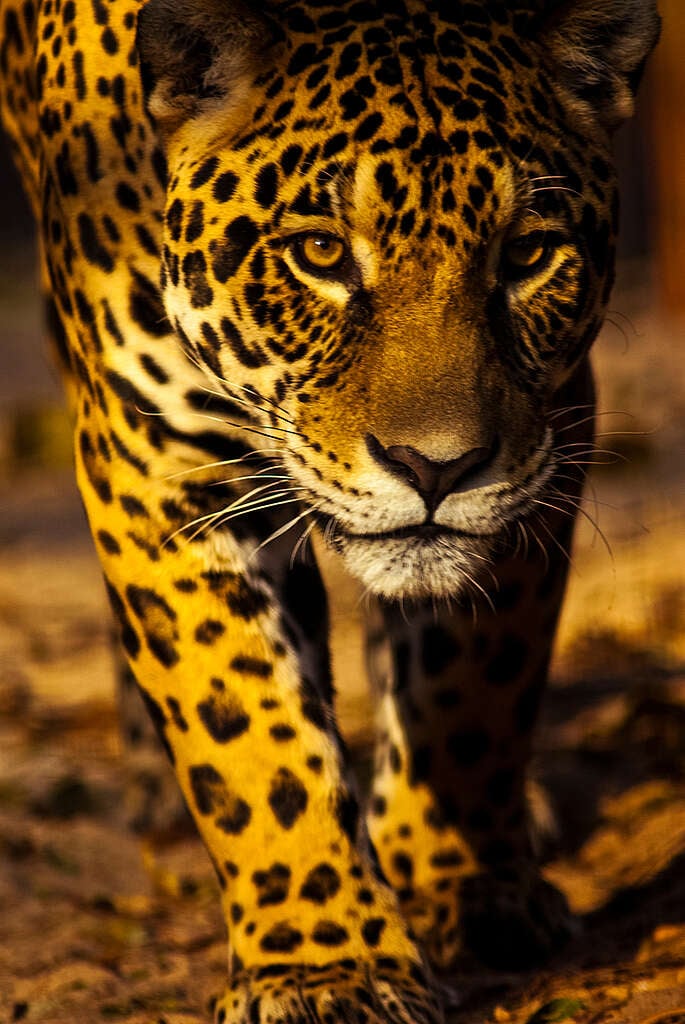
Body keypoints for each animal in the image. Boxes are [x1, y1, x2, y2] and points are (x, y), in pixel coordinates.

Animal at [0, 0, 660, 1021]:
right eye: (319, 253)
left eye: (526, 255)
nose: (436, 467)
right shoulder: (158, 457)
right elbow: (247, 729)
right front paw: (324, 964)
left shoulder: (551, 428)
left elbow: (472, 686)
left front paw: (452, 886)